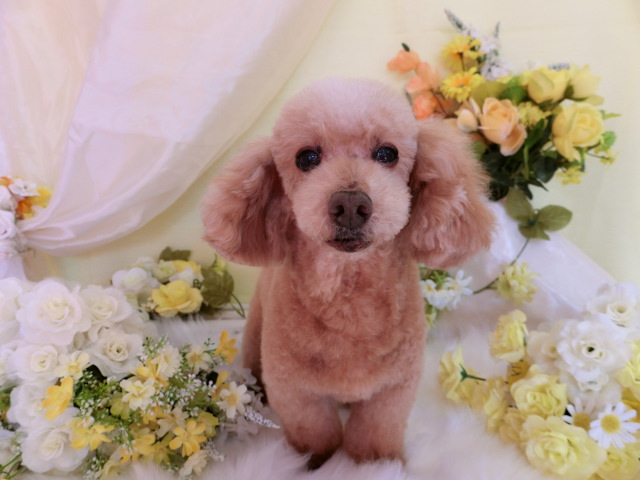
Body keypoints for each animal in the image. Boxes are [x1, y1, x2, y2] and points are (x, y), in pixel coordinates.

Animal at [201, 78, 494, 468]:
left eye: (387, 154)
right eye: (306, 158)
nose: (351, 204)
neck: (349, 293)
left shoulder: (393, 388)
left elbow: (375, 433)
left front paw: (378, 465)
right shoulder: (295, 390)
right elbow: (315, 432)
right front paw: (312, 464)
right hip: (256, 337)